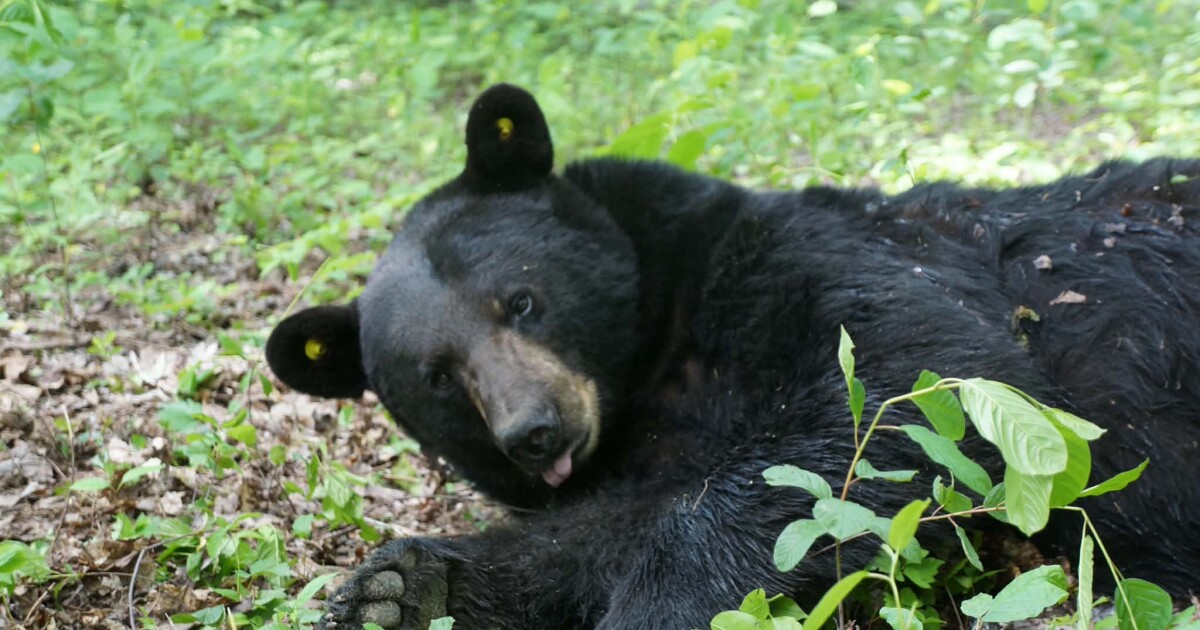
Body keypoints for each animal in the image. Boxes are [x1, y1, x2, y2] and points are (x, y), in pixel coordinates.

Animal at [265, 84, 1200, 630]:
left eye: (520, 301)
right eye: (438, 377)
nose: (535, 432)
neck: (655, 364)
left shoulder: (819, 258)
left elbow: (912, 378)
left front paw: (656, 609)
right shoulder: (638, 456)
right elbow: (603, 530)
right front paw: (404, 588)